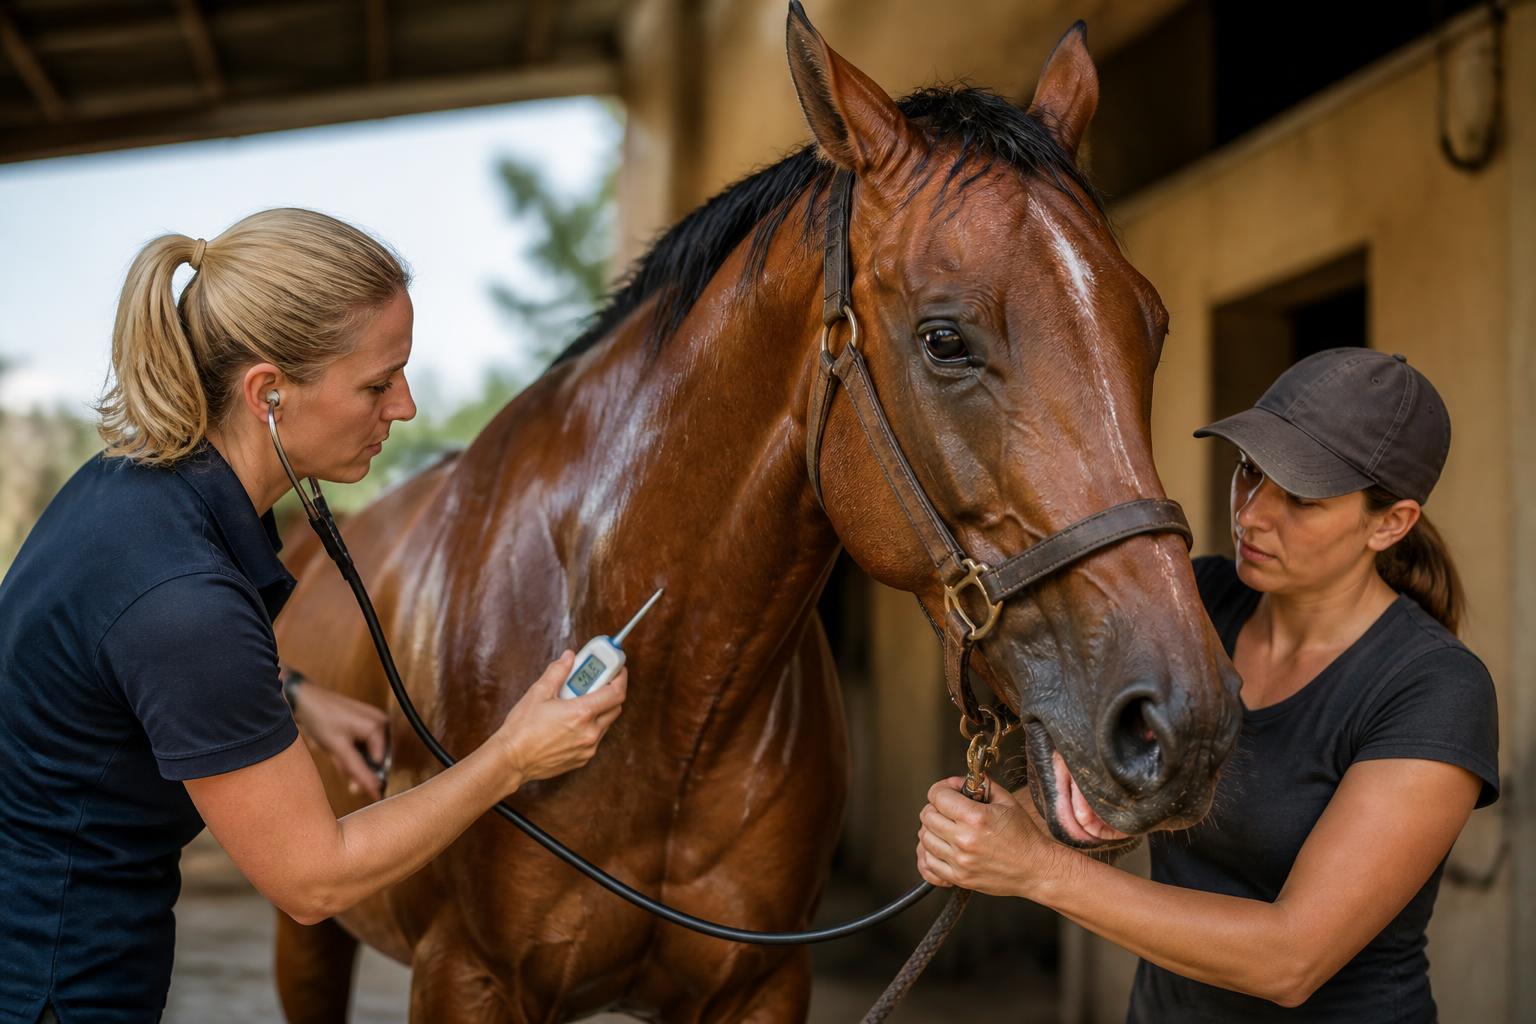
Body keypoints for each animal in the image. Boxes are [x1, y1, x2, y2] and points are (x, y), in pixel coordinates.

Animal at [271, 5, 1241, 1021]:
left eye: (1153, 328)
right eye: (944, 339)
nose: (1183, 724)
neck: (669, 706)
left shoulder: (764, 982)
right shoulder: (467, 976)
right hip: (310, 932)